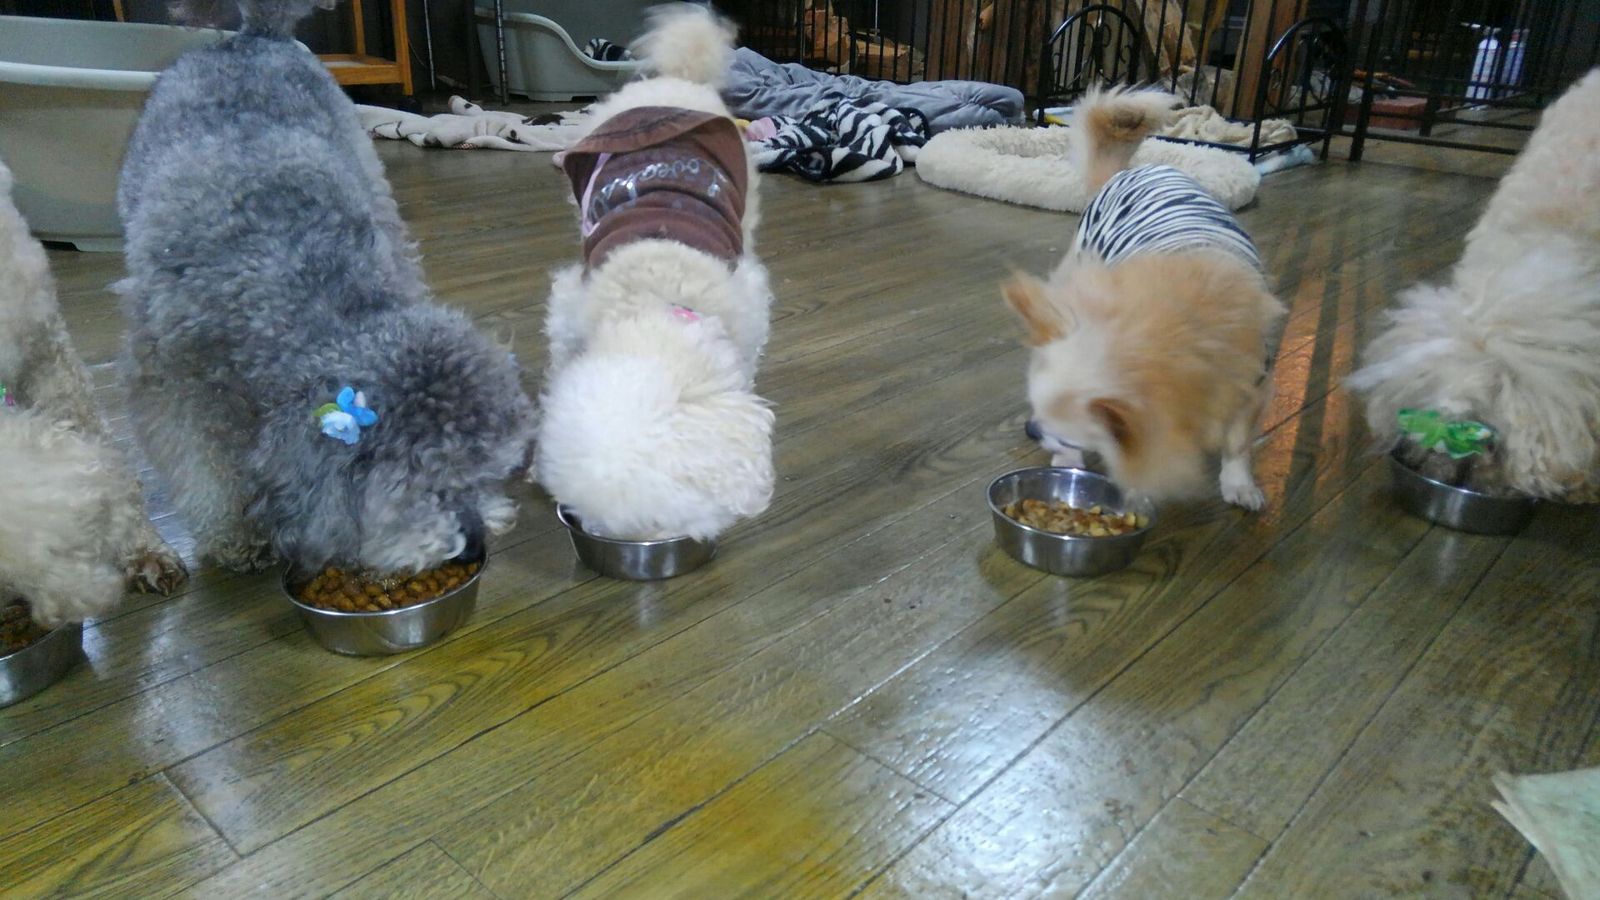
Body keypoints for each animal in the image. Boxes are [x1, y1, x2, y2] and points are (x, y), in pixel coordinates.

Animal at [117, 0, 537, 576]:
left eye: (486, 472)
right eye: (424, 486)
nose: (473, 544)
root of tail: (256, 36)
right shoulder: (172, 385)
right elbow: (202, 466)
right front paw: (235, 535)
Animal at [535, 3, 776, 541]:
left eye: (661, 519)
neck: (658, 297)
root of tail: (675, 80)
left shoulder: (748, 305)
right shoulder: (571, 304)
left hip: (747, 198)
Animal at [1003, 87, 1285, 509]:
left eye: (1066, 431)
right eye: (1033, 407)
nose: (1031, 429)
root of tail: (1126, 172)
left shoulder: (1250, 386)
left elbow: (1237, 443)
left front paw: (1239, 483)